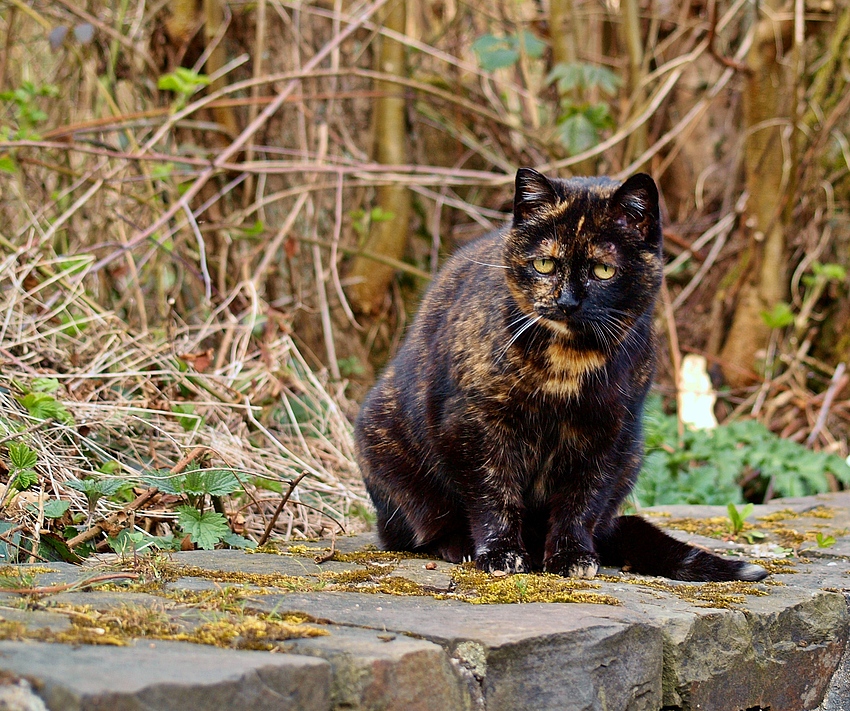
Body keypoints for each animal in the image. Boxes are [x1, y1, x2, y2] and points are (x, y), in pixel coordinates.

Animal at [354, 168, 764, 584]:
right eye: (545, 265)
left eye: (603, 270)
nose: (566, 302)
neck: (568, 363)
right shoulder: (475, 423)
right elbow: (493, 494)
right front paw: (501, 553)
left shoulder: (610, 431)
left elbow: (582, 501)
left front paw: (572, 556)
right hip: (383, 441)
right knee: (419, 524)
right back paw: (460, 546)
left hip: (633, 453)